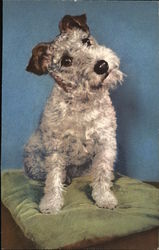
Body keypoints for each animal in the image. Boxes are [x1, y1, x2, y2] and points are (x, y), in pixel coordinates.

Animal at [23, 13, 123, 214]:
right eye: (66, 61)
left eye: (86, 41)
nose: (101, 65)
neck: (83, 104)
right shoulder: (56, 149)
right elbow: (53, 179)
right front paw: (51, 204)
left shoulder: (106, 142)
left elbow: (102, 173)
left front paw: (104, 198)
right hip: (34, 159)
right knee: (48, 174)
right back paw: (65, 179)